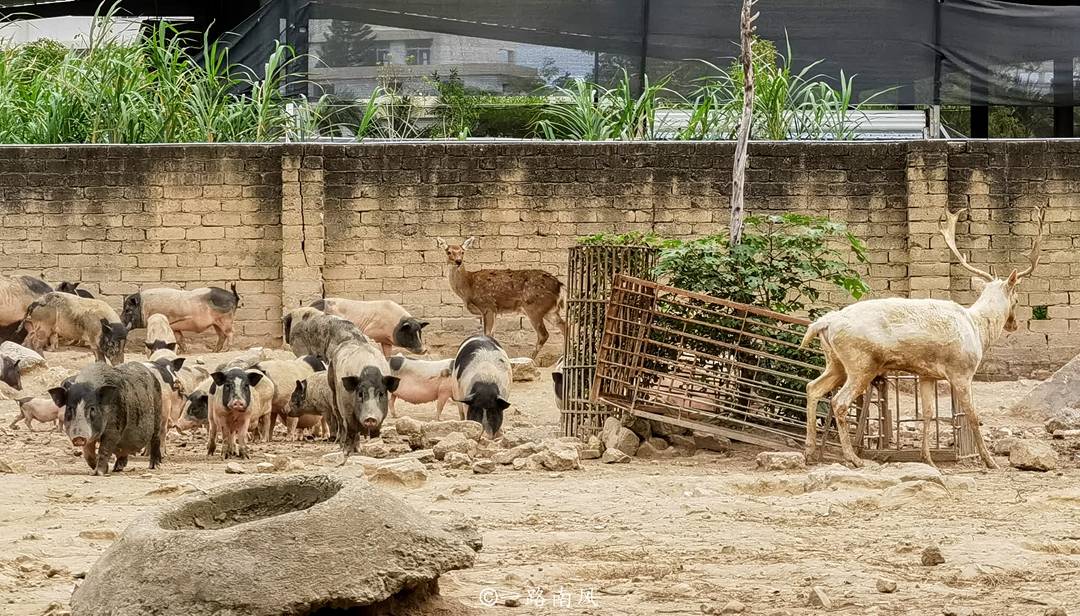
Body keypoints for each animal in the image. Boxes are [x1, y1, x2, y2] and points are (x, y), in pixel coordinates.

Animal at [436, 237, 570, 356]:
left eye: (462, 252)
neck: (468, 286)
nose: (458, 261)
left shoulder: (488, 306)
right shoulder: (494, 310)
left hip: (534, 307)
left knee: (543, 334)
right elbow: (492, 335)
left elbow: (487, 334)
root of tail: (559, 285)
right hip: (550, 310)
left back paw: (531, 359)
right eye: (449, 252)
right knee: (565, 326)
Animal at [799, 204, 1041, 466]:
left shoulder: (927, 374)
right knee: (838, 402)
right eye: (1016, 298)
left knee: (812, 387)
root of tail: (825, 323)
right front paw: (990, 461)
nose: (1014, 325)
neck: (978, 329)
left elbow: (928, 413)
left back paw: (809, 451)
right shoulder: (962, 370)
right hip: (861, 363)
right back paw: (852, 457)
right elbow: (973, 415)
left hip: (835, 362)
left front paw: (928, 458)